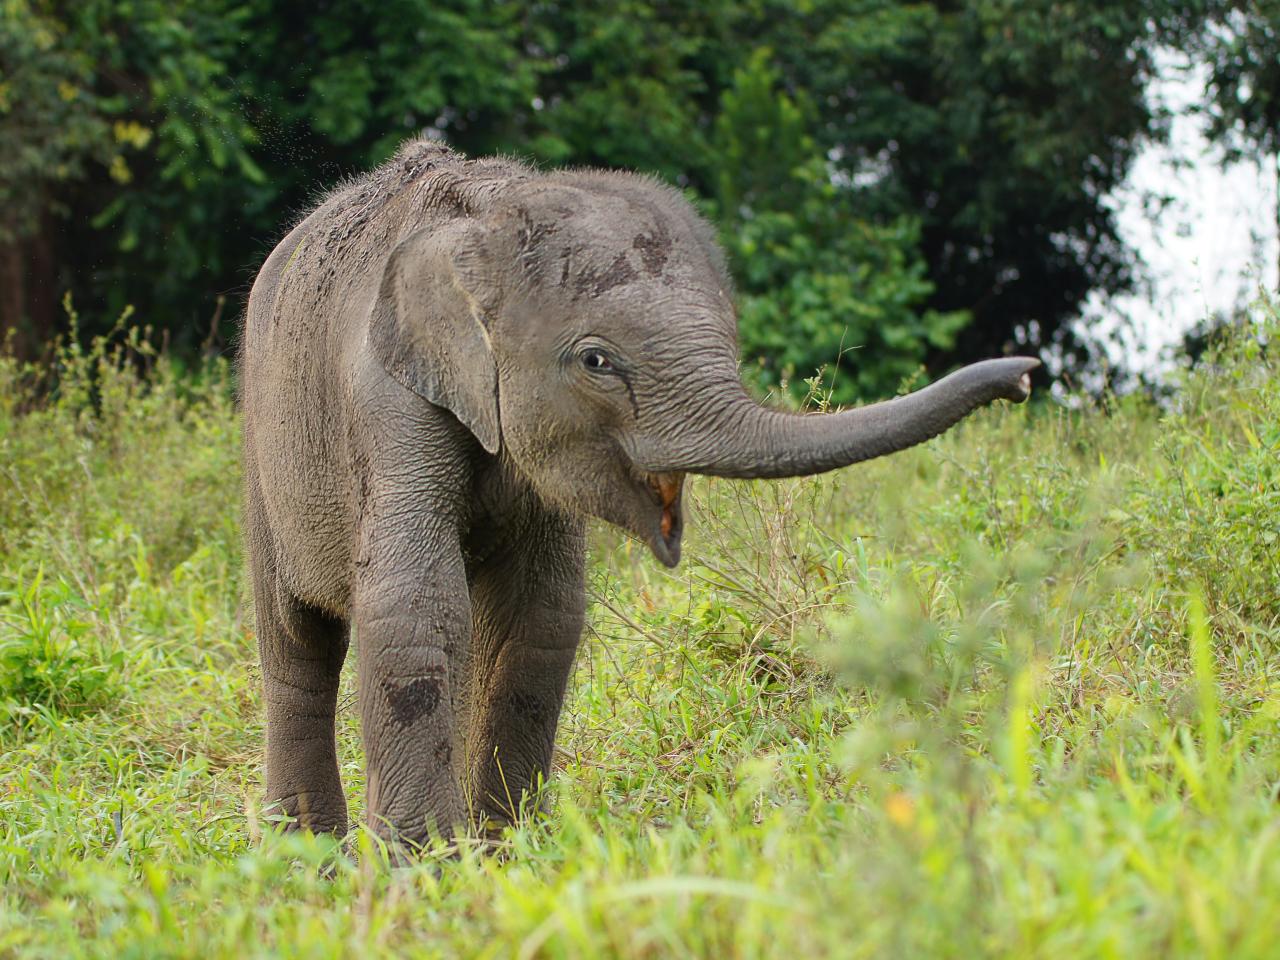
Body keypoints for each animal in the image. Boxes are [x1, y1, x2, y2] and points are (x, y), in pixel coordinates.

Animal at [240, 135, 1039, 849]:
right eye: (596, 361)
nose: (1028, 375)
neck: (488, 214)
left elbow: (541, 613)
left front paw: (503, 854)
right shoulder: (386, 399)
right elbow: (413, 602)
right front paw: (423, 869)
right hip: (262, 457)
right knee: (295, 639)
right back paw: (304, 858)